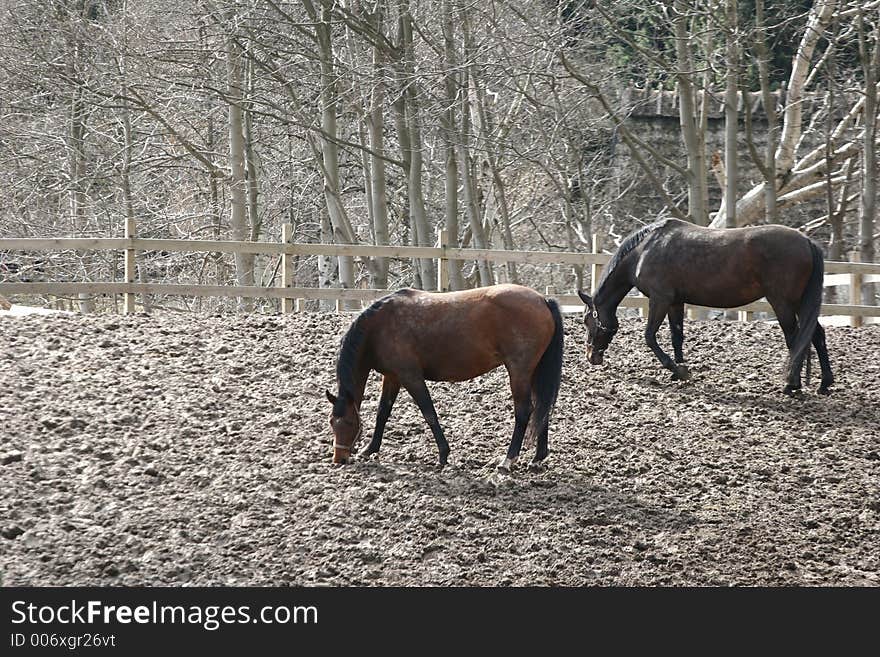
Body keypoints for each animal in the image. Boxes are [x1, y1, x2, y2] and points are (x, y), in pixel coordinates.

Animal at [324, 284, 564, 468]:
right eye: (331, 422)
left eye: (348, 422)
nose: (339, 459)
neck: (379, 326)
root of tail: (543, 300)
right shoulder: (392, 377)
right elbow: (383, 413)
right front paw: (370, 448)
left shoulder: (411, 377)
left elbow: (429, 414)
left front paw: (443, 455)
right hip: (534, 371)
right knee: (541, 407)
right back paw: (537, 457)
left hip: (519, 372)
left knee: (524, 411)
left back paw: (508, 460)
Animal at [576, 219, 832, 394]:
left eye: (588, 321)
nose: (591, 356)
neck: (644, 251)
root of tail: (807, 241)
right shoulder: (675, 302)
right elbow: (676, 337)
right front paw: (679, 370)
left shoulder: (660, 299)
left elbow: (649, 337)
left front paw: (677, 369)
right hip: (799, 303)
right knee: (816, 335)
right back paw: (824, 384)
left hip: (783, 303)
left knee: (795, 339)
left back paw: (792, 385)